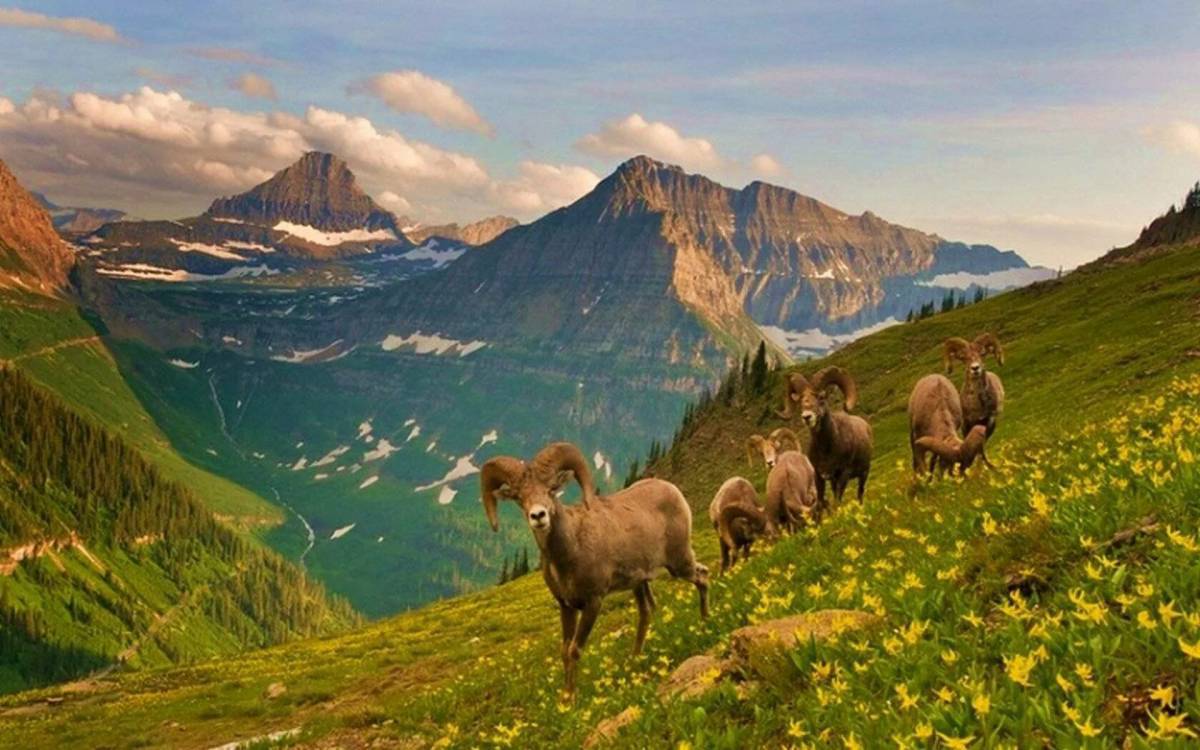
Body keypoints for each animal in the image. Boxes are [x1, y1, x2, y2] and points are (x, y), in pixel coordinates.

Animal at [477, 441, 700, 691]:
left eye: (551, 490)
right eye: (518, 497)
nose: (538, 516)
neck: (570, 552)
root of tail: (673, 490)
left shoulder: (593, 603)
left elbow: (575, 650)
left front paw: (573, 697)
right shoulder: (566, 606)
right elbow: (565, 652)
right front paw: (565, 697)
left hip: (679, 563)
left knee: (703, 575)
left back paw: (705, 621)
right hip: (640, 583)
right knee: (647, 612)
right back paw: (634, 660)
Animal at [777, 367, 873, 506]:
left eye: (821, 398)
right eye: (800, 401)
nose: (807, 417)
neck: (826, 449)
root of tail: (866, 425)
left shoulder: (843, 474)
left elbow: (837, 500)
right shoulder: (819, 476)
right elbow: (821, 501)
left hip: (864, 473)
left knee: (860, 492)